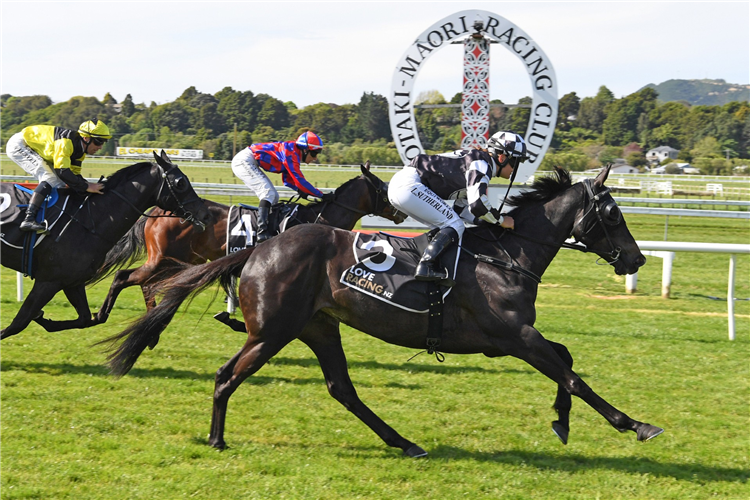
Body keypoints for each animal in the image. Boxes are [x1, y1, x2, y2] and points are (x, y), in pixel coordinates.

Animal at [94, 162, 406, 322]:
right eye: (383, 187)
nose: (400, 211)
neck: (319, 218)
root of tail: (159, 211)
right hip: (164, 259)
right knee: (126, 278)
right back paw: (104, 313)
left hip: (180, 261)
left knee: (147, 285)